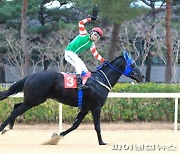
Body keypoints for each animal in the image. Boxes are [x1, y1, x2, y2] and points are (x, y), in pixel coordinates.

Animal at [0, 51, 144, 145]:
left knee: (16, 106)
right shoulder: (96, 106)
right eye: (133, 64)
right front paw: (102, 142)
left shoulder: (86, 107)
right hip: (34, 100)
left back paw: (8, 128)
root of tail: (31, 76)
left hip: (34, 100)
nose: (142, 76)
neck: (100, 80)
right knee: (16, 111)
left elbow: (75, 125)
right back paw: (2, 128)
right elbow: (97, 125)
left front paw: (56, 137)